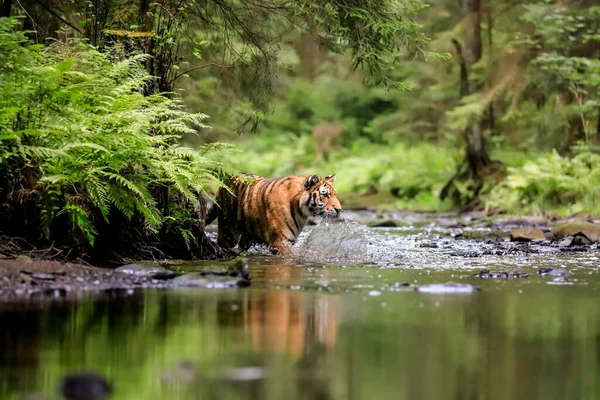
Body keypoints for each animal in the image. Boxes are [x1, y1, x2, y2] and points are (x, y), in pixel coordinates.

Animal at [204, 173, 340, 256]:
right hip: (228, 232)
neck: (301, 210)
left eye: (335, 194)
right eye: (325, 194)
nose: (339, 209)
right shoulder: (279, 242)